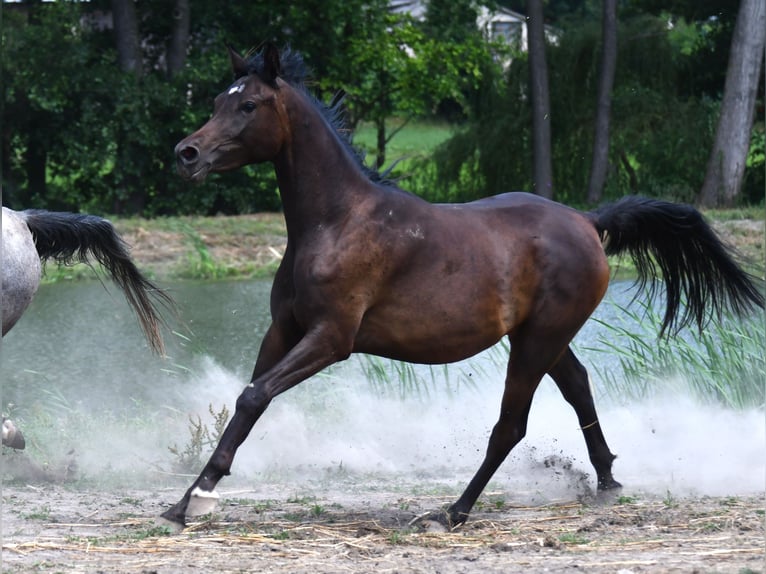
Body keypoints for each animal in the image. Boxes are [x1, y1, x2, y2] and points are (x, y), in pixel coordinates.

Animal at [160, 44, 760, 532]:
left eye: (248, 106)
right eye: (216, 100)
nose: (185, 154)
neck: (336, 222)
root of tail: (589, 221)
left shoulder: (331, 339)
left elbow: (253, 396)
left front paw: (199, 499)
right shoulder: (284, 331)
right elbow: (246, 402)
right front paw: (186, 501)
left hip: (536, 340)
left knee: (511, 425)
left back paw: (452, 513)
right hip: (543, 337)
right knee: (578, 387)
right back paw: (607, 482)